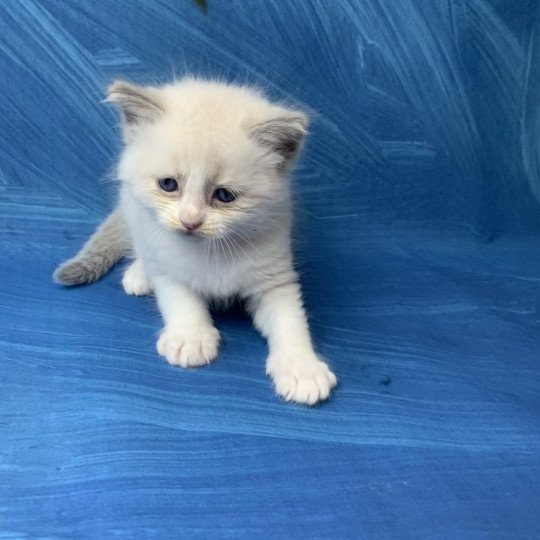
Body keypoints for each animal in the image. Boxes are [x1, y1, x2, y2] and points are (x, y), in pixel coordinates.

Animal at [53, 77, 334, 404]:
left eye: (224, 195)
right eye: (168, 184)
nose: (190, 220)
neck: (212, 250)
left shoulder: (275, 276)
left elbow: (290, 321)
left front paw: (302, 369)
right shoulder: (168, 267)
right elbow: (181, 299)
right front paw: (190, 338)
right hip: (135, 210)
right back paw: (139, 273)